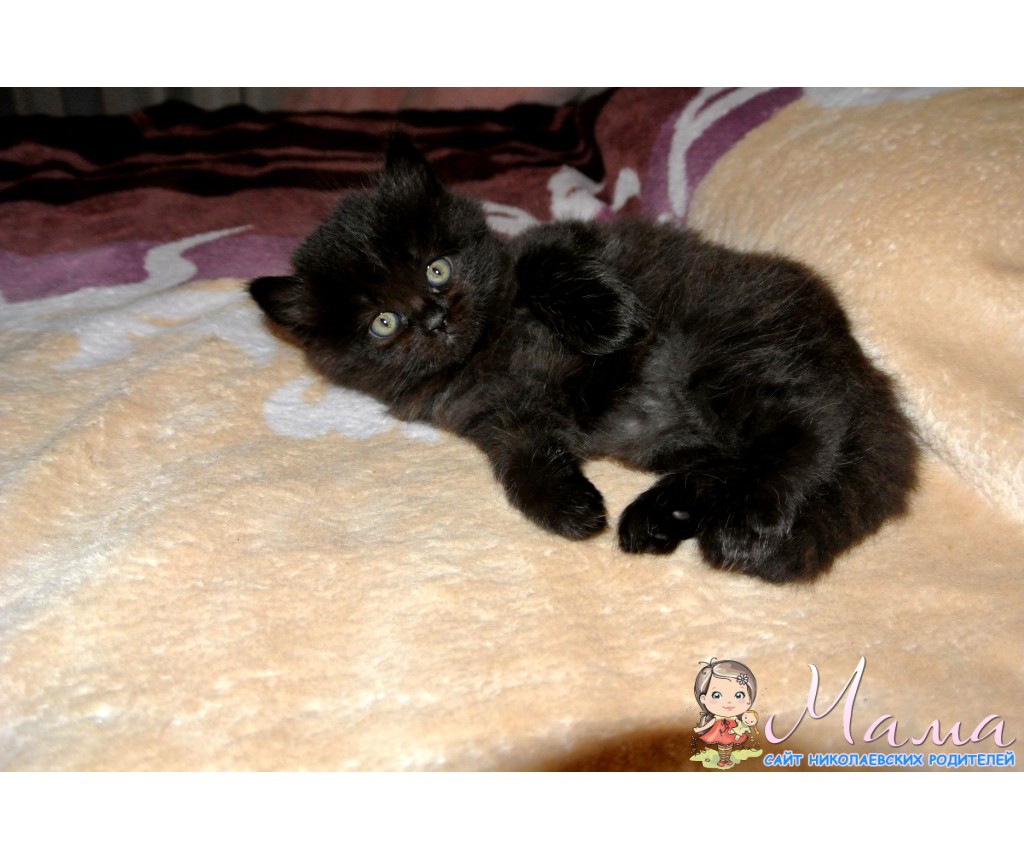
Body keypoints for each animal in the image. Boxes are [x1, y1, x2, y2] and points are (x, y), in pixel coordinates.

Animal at [248, 134, 918, 582]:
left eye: (436, 268)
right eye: (382, 323)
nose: (434, 319)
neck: (489, 348)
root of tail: (856, 355)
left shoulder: (561, 239)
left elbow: (546, 264)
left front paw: (606, 323)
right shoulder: (496, 419)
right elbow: (522, 466)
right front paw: (569, 509)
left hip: (729, 352)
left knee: (811, 425)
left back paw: (744, 520)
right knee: (749, 450)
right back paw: (661, 514)